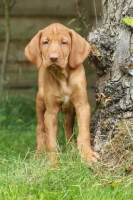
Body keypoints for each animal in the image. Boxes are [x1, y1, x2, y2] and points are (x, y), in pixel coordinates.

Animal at [24, 22, 99, 165]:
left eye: (64, 42)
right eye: (45, 42)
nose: (53, 58)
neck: (62, 77)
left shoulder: (82, 106)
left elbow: (83, 134)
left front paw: (87, 155)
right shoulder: (51, 113)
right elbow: (51, 142)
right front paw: (53, 164)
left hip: (69, 112)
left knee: (68, 129)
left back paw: (71, 150)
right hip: (40, 101)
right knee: (40, 128)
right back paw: (39, 155)